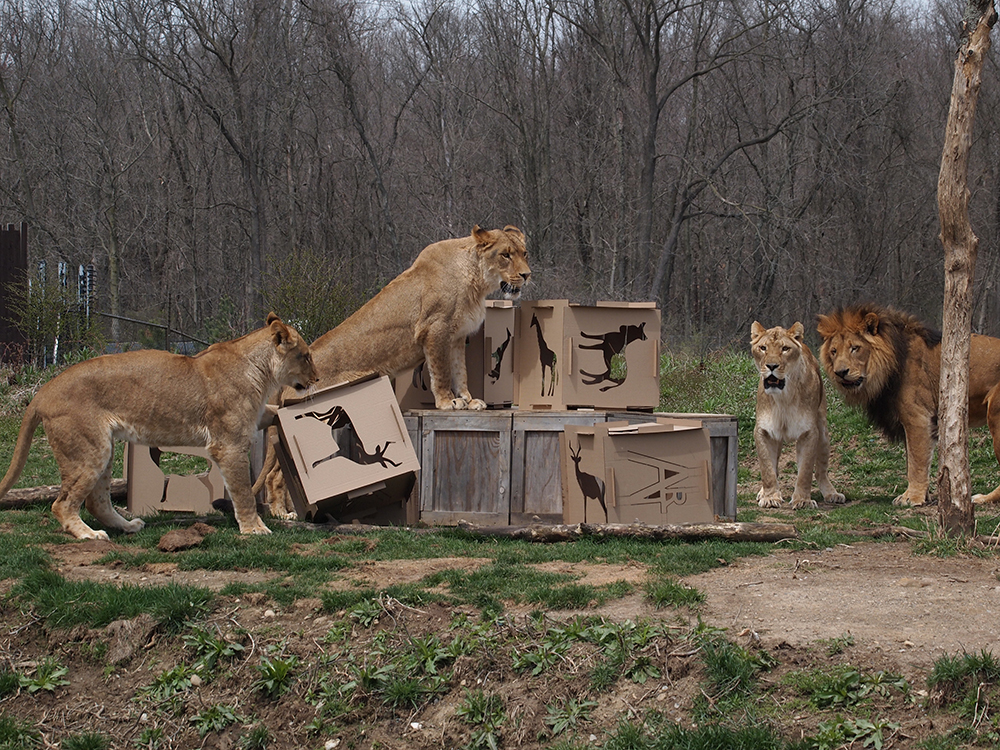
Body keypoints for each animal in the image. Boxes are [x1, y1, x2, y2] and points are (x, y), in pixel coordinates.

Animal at [816, 302, 1000, 508]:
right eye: (833, 351)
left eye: (855, 348)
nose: (841, 372)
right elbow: (915, 460)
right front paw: (924, 496)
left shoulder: (917, 418)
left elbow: (916, 462)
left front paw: (912, 498)